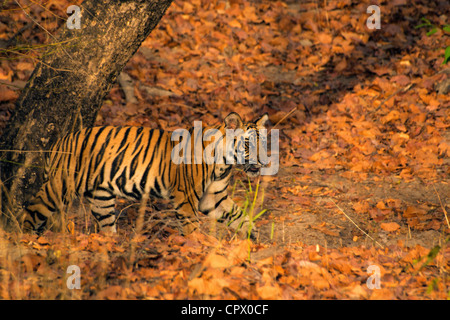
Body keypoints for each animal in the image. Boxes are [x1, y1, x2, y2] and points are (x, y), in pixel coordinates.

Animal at [22, 112, 268, 235]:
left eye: (264, 141)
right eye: (248, 144)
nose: (264, 161)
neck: (224, 163)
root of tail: (59, 142)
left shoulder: (213, 198)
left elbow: (239, 217)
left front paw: (253, 239)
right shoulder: (186, 197)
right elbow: (192, 228)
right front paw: (195, 250)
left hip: (101, 197)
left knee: (106, 226)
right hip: (60, 185)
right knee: (33, 209)